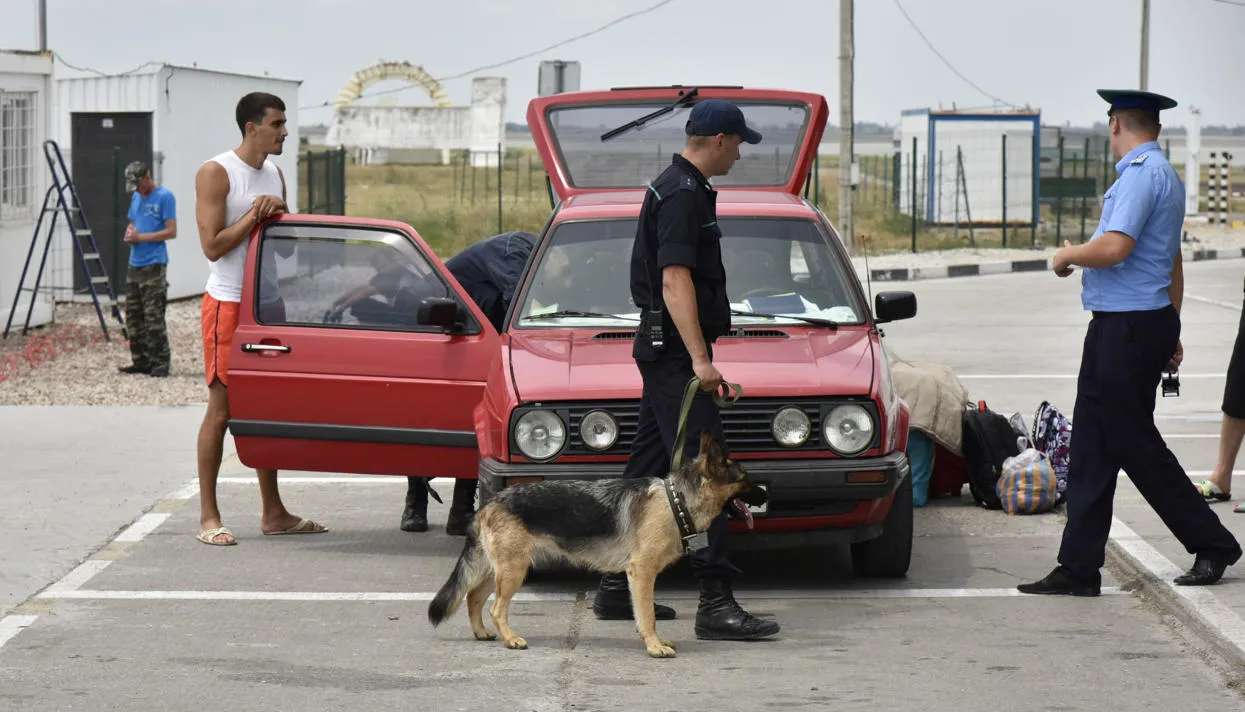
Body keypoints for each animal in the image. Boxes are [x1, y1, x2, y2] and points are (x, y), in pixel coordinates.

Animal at [430, 428, 766, 657]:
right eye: (745, 478)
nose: (764, 491)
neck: (676, 501)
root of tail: (489, 504)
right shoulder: (642, 573)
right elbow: (648, 615)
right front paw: (654, 646)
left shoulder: (638, 577)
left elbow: (642, 613)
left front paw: (652, 641)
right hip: (513, 571)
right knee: (496, 608)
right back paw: (510, 638)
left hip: (498, 569)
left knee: (473, 597)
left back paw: (482, 633)